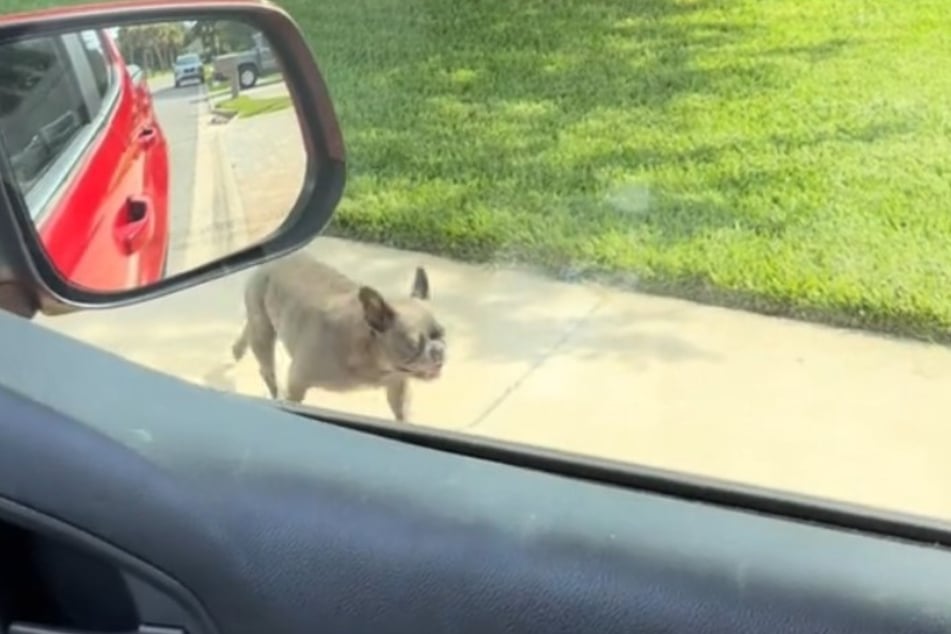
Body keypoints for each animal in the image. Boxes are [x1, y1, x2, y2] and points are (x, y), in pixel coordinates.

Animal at [231, 252, 446, 420]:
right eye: (412, 344)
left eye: (443, 334)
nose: (439, 350)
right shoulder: (297, 384)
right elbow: (294, 397)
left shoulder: (397, 384)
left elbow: (402, 412)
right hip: (263, 332)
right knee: (267, 369)